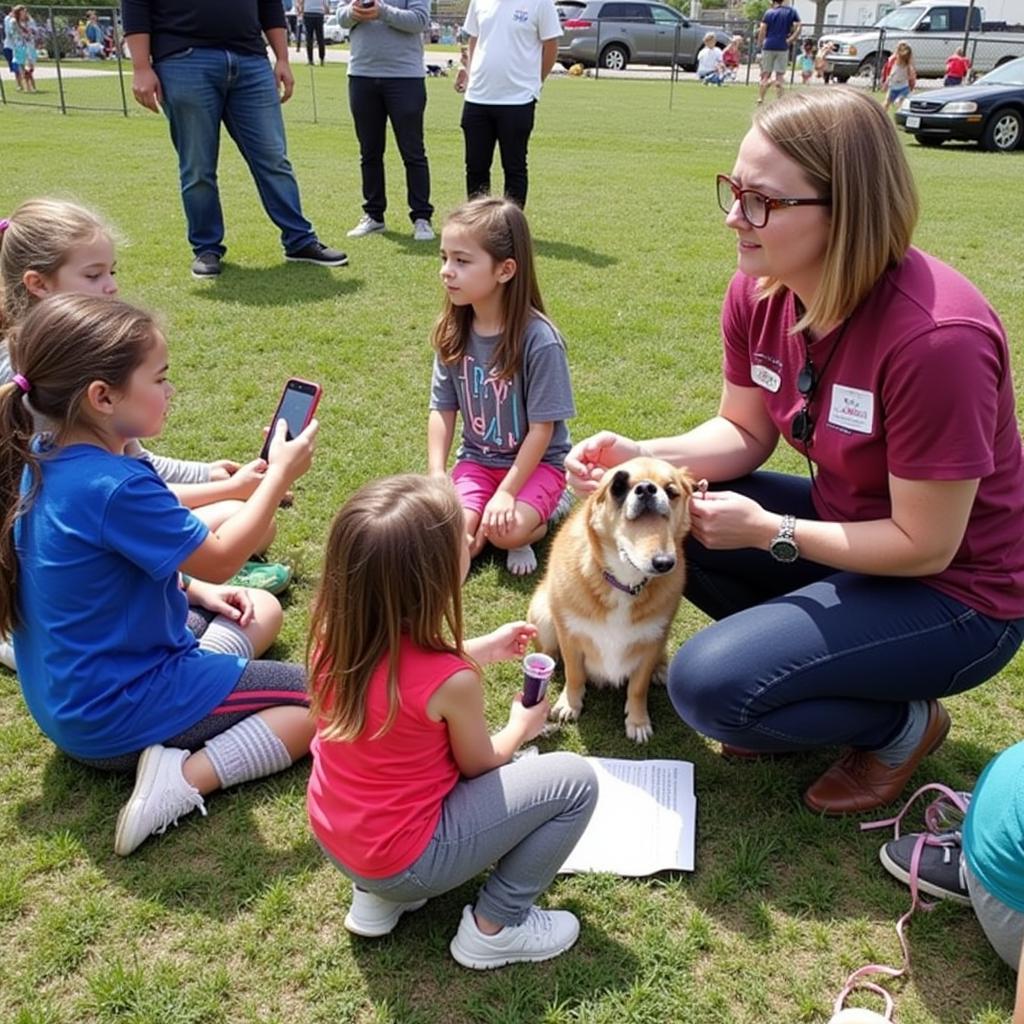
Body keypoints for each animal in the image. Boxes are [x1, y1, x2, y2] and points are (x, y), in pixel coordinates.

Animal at [532, 460, 692, 741]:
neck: (625, 584)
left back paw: (661, 670)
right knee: (549, 651)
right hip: (542, 614)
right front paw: (569, 704)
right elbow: (574, 674)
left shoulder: (651, 641)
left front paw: (637, 722)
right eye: (617, 486)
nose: (647, 488)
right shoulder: (569, 635)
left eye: (672, 491)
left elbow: (637, 688)